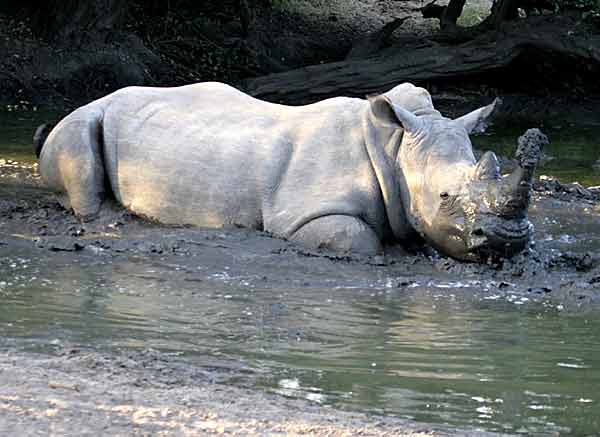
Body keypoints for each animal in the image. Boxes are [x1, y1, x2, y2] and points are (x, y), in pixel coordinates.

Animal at [35, 81, 540, 258]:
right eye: (444, 197)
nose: (507, 245)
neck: (395, 145)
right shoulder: (300, 217)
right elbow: (354, 239)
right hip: (84, 117)